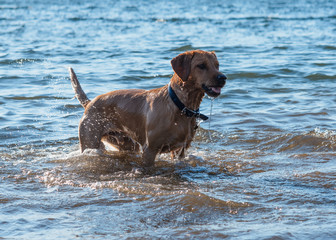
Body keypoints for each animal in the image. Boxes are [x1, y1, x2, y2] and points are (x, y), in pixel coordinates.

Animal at [68, 50, 226, 167]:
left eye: (217, 65)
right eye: (201, 65)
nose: (223, 77)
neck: (179, 105)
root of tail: (89, 103)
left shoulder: (180, 151)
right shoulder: (150, 149)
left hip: (127, 144)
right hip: (90, 141)